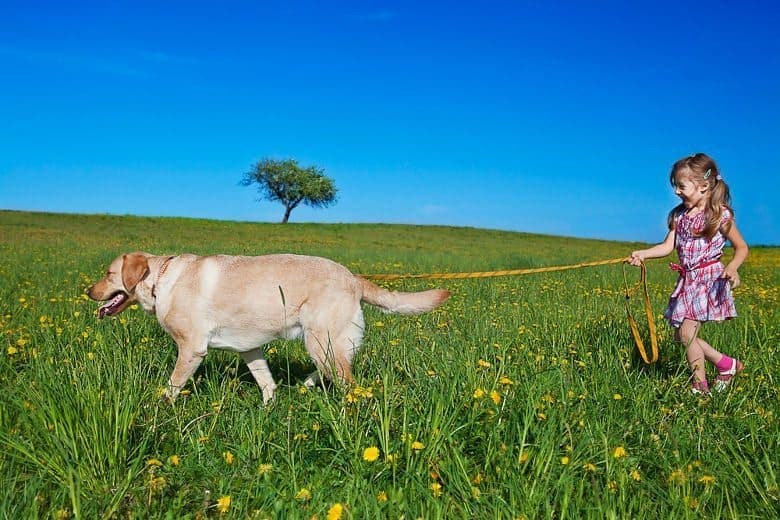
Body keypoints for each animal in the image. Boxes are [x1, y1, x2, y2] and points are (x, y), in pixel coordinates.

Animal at [86, 252, 450, 402]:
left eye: (107, 273)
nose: (87, 291)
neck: (161, 281)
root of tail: (353, 277)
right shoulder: (249, 348)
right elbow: (266, 383)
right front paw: (267, 409)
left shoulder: (191, 350)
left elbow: (171, 387)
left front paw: (158, 411)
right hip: (322, 343)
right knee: (330, 370)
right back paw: (306, 385)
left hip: (320, 341)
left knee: (349, 383)